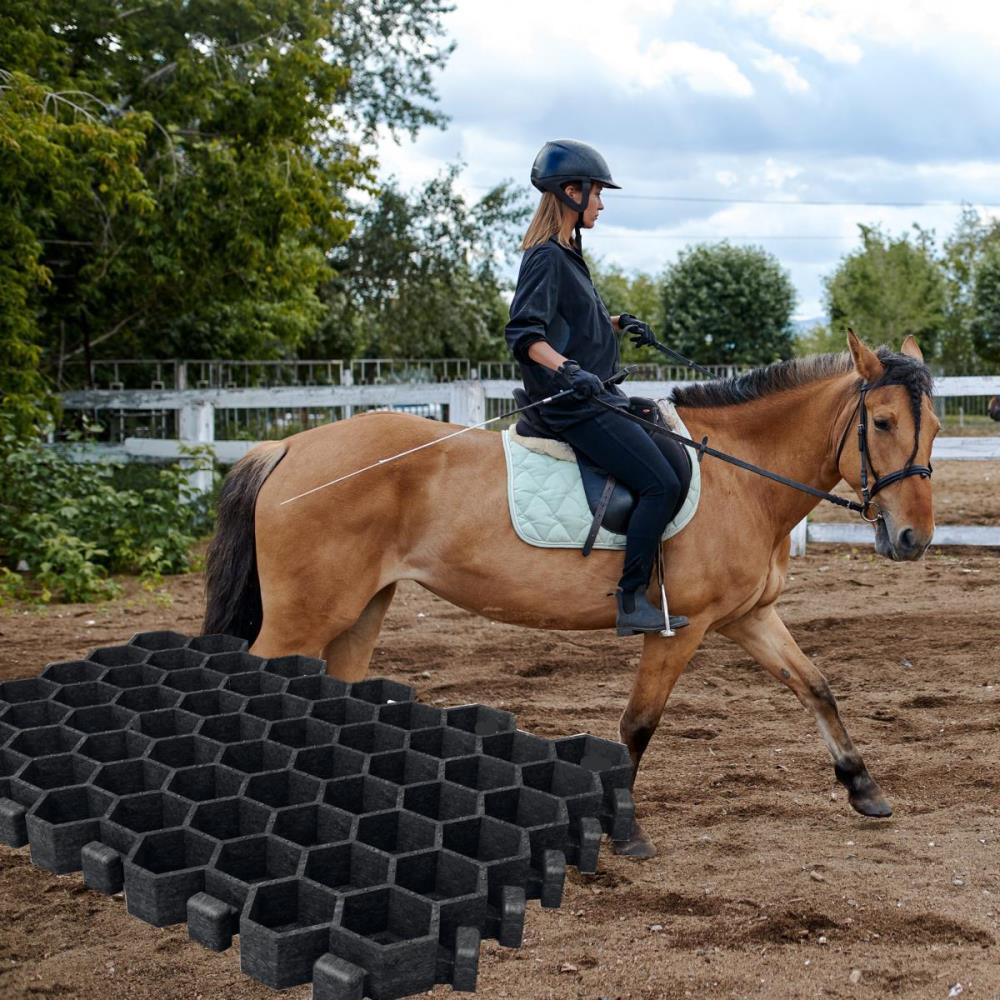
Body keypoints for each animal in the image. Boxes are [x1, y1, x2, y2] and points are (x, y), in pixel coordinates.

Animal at [203, 332, 936, 856]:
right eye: (881, 423)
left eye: (930, 429)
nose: (912, 538)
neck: (742, 475)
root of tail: (286, 447)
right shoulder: (683, 625)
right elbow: (638, 724)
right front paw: (623, 831)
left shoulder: (749, 617)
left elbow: (816, 686)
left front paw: (864, 788)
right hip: (305, 617)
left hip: (359, 612)